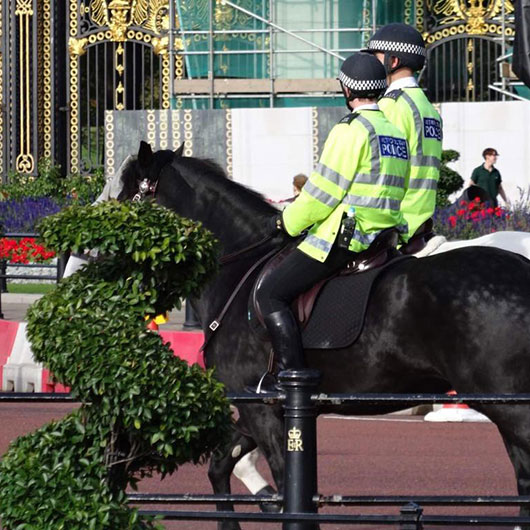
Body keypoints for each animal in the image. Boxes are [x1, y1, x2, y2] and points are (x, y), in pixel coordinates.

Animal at [120, 141, 530, 528]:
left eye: (126, 197)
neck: (237, 272)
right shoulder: (260, 408)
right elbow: (222, 464)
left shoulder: (261, 408)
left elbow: (289, 487)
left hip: (508, 405)